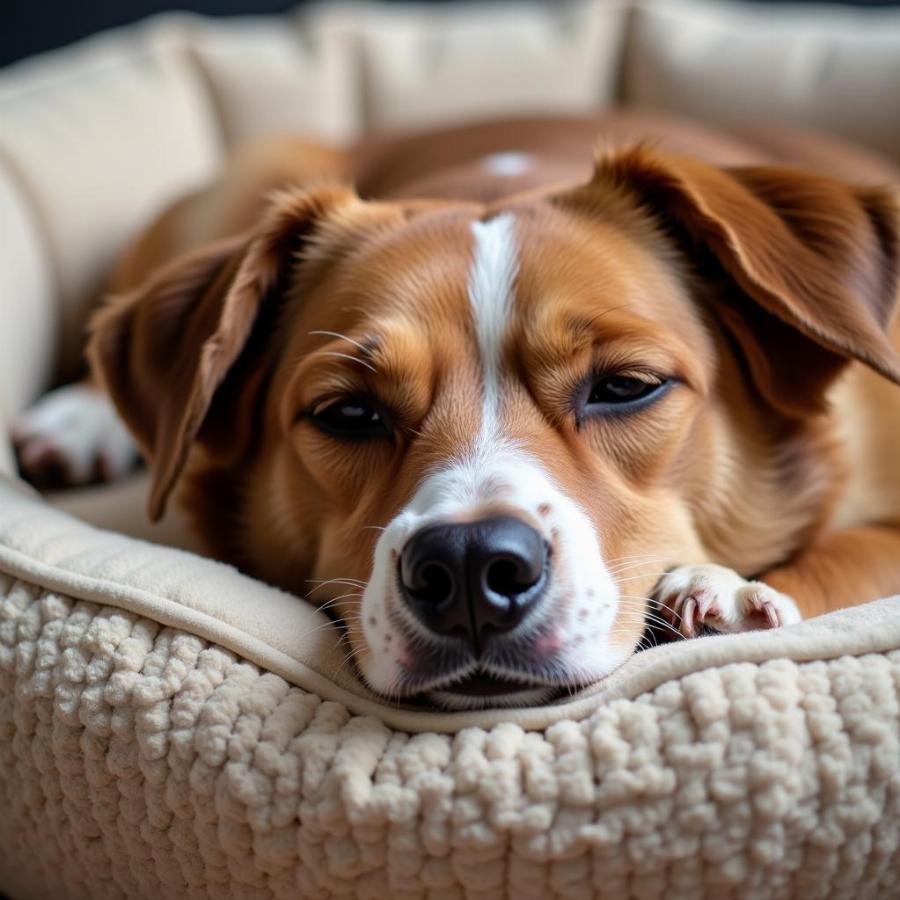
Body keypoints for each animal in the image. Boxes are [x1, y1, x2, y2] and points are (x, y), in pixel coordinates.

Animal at [10, 112, 900, 708]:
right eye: (348, 412)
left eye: (626, 385)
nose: (471, 565)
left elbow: (857, 551)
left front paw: (725, 592)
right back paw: (78, 420)